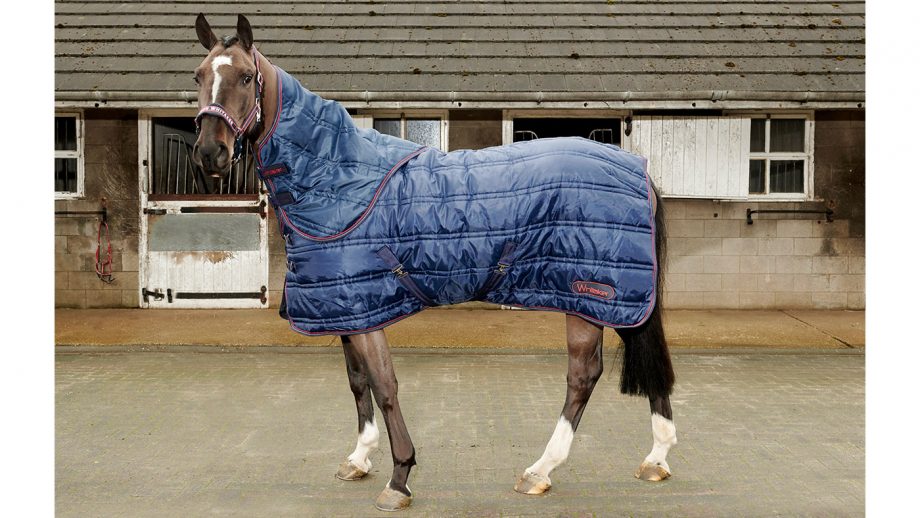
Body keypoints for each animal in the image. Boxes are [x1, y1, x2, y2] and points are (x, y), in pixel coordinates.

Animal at [190, 14, 677, 512]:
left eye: (244, 77)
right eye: (199, 77)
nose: (211, 153)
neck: (334, 179)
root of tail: (637, 169)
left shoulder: (367, 312)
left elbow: (385, 386)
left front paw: (399, 477)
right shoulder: (347, 307)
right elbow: (358, 382)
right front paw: (359, 458)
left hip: (591, 298)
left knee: (582, 376)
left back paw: (541, 469)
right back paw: (655, 459)